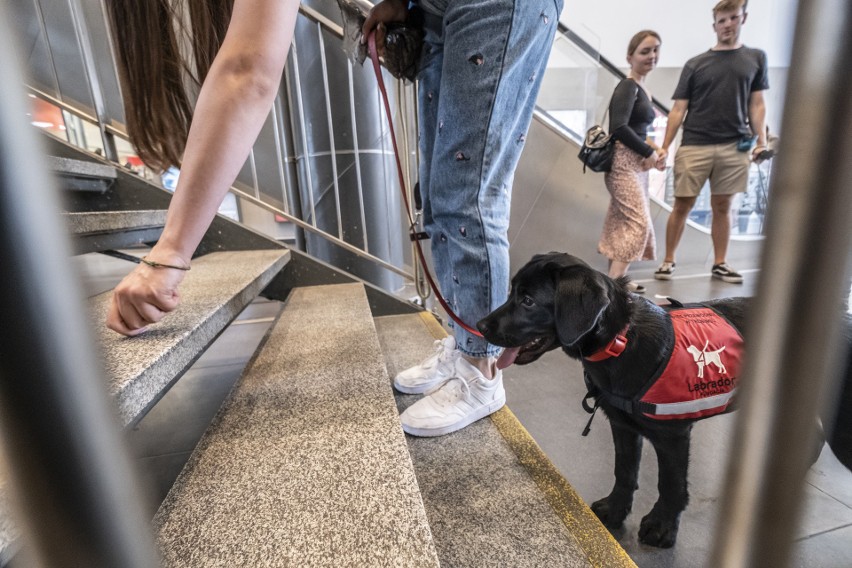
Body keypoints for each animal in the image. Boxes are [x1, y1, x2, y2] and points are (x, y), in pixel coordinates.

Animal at [476, 252, 848, 544]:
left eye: (528, 301)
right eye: (513, 292)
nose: (480, 325)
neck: (622, 339)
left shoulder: (674, 435)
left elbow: (671, 484)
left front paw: (662, 528)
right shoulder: (623, 425)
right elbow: (625, 471)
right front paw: (615, 511)